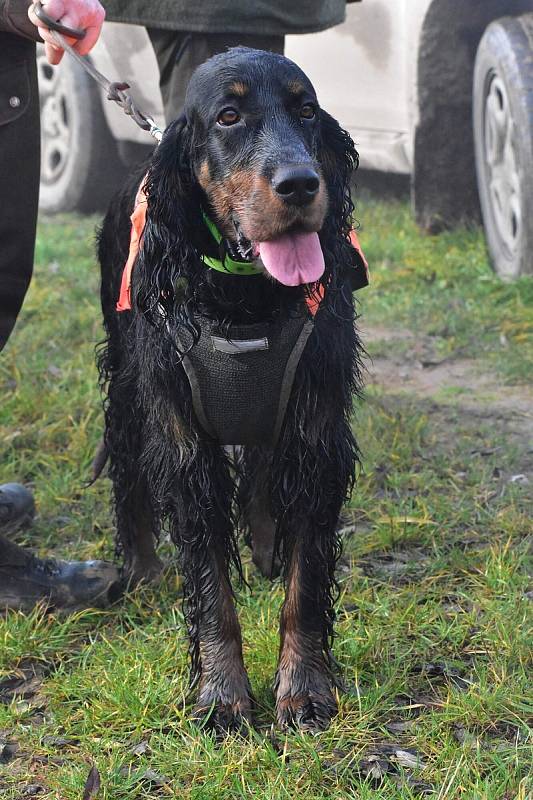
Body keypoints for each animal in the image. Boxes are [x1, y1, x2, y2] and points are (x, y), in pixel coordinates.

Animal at [96, 47, 362, 736]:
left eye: (305, 110)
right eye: (229, 116)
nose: (300, 184)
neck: (246, 295)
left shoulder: (318, 429)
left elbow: (307, 581)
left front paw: (304, 690)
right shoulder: (183, 440)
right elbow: (211, 585)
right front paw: (222, 697)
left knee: (266, 470)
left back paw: (266, 548)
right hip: (128, 384)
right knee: (128, 468)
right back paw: (142, 569)